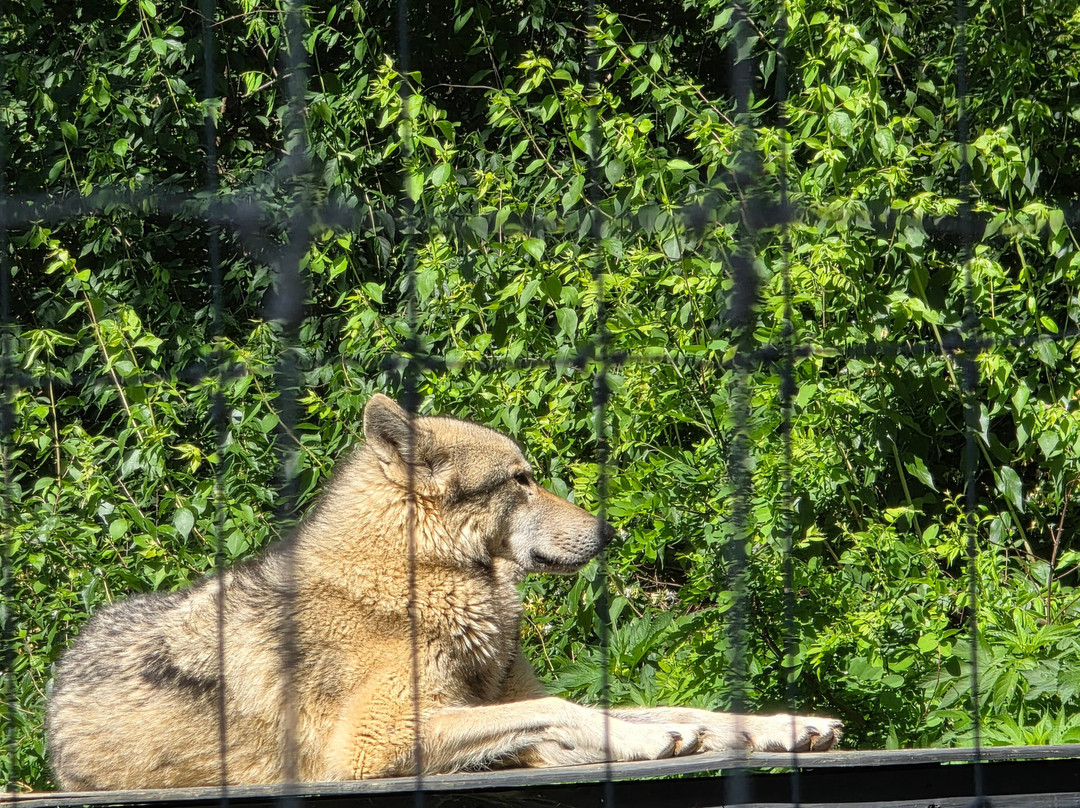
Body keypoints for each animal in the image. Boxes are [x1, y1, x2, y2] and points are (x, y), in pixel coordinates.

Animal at [47, 393, 842, 790]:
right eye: (520, 480)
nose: (610, 530)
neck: (426, 585)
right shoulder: (375, 744)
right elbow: (566, 708)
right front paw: (644, 740)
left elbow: (686, 708)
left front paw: (787, 725)